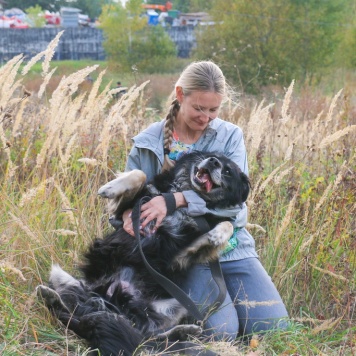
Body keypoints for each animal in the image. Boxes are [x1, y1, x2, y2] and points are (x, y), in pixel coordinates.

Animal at [36, 151, 250, 356]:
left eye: (228, 171)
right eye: (211, 156)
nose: (213, 162)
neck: (180, 195)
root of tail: (112, 302)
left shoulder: (180, 255)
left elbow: (228, 224)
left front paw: (217, 235)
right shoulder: (128, 211)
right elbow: (140, 174)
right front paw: (110, 188)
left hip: (179, 305)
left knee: (146, 336)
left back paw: (184, 331)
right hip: (63, 277)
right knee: (74, 318)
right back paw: (51, 296)